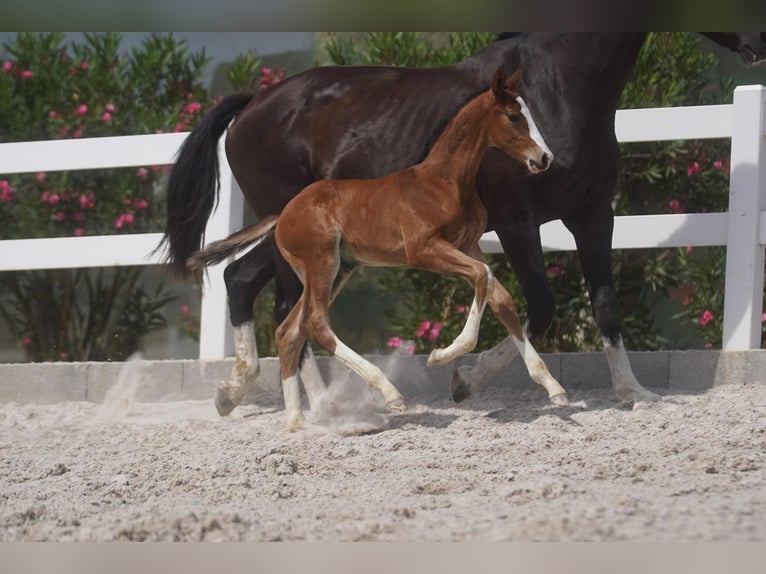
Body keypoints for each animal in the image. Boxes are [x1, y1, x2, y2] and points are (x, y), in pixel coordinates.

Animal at [192, 66, 568, 432]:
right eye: (514, 116)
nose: (545, 157)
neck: (444, 181)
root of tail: (282, 214)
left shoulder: (467, 245)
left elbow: (501, 299)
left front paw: (552, 387)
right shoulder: (424, 249)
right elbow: (483, 276)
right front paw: (442, 355)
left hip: (333, 269)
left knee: (290, 331)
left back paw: (298, 422)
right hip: (323, 264)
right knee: (314, 324)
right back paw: (388, 394)